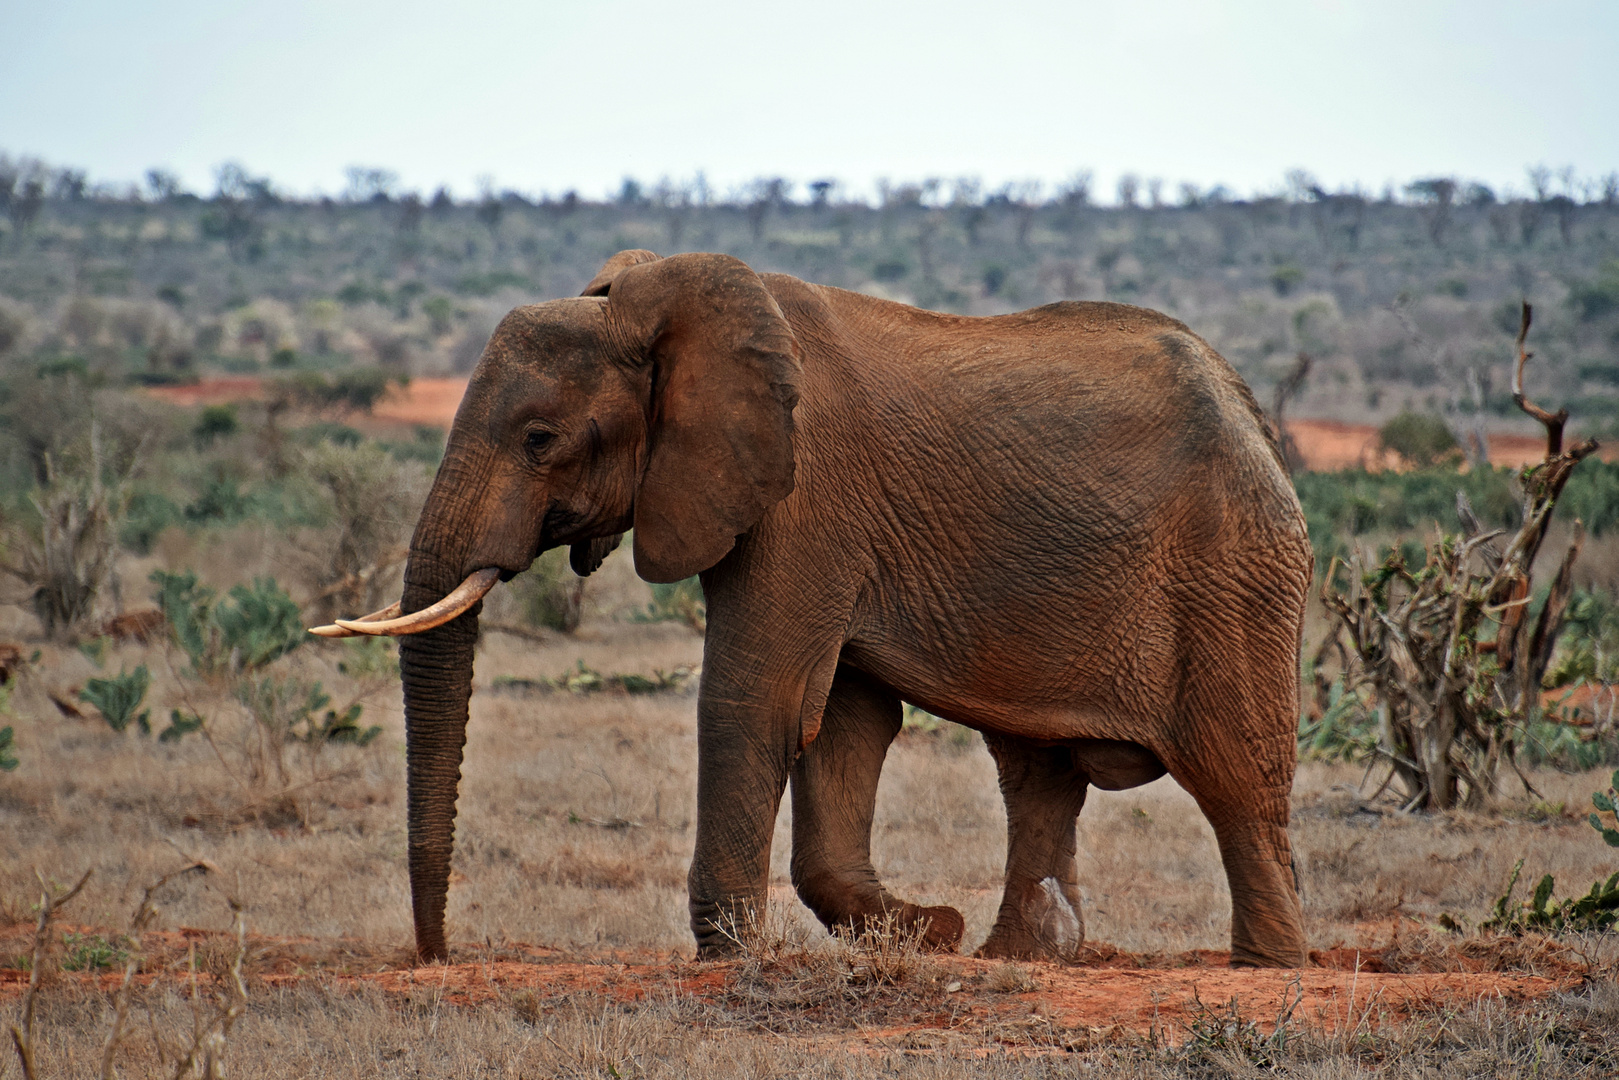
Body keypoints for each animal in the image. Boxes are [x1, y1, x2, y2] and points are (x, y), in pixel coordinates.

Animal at [315, 249, 1314, 965]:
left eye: (538, 439)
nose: (438, 957)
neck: (664, 306)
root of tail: (1250, 411)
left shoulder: (804, 494)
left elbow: (755, 701)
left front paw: (733, 956)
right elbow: (842, 718)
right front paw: (921, 931)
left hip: (1234, 572)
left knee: (1234, 776)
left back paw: (1268, 967)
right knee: (1035, 773)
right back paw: (1022, 956)